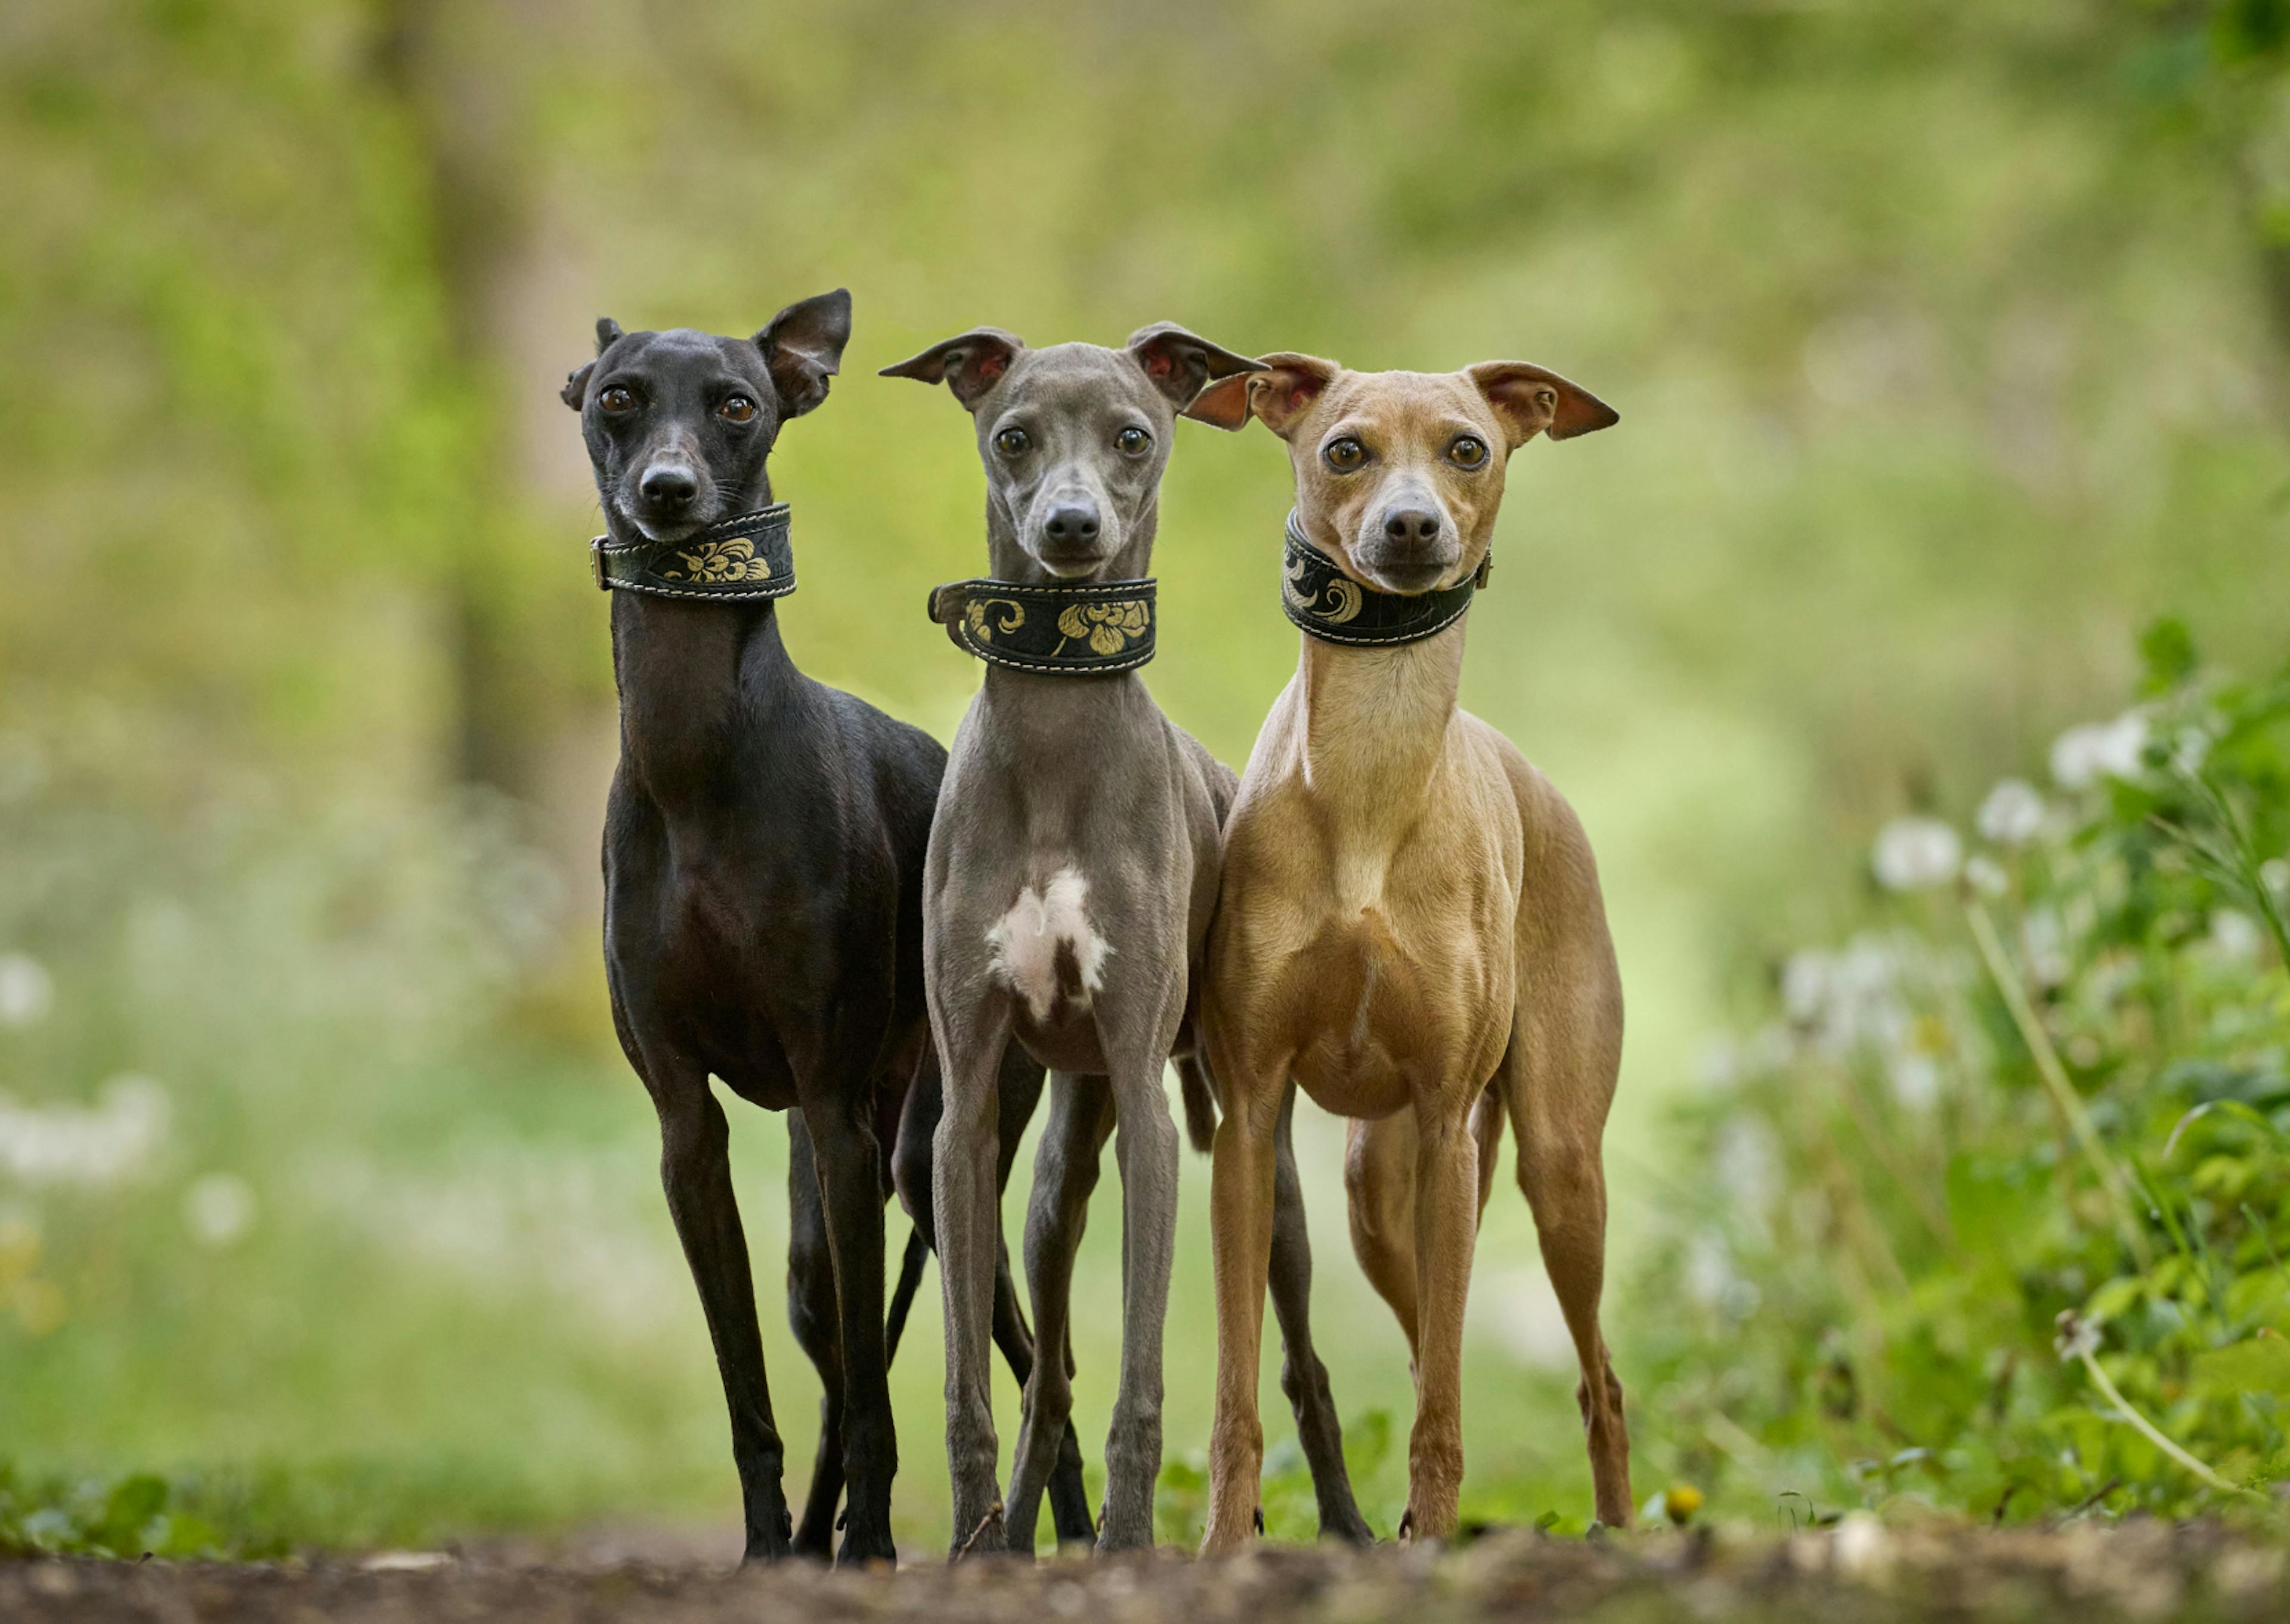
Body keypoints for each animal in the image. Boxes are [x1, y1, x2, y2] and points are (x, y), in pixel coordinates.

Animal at [558, 297, 1085, 1566]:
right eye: (616, 396)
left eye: (738, 403)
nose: (666, 492)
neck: (696, 760)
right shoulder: (688, 1126)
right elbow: (754, 1382)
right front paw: (769, 1542)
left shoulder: (842, 1112)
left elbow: (877, 1394)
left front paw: (870, 1544)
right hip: (835, 1187)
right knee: (841, 1341)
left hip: (933, 1152)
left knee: (1028, 1359)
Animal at [884, 323, 1364, 1548]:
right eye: (1013, 435)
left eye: (1134, 436)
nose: (1070, 527)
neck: (1058, 737)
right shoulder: (963, 1119)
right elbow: (971, 1381)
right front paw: (974, 1541)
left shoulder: (1151, 1109)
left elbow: (1142, 1379)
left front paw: (1132, 1538)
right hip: (1059, 1169)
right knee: (1048, 1373)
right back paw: (1017, 1529)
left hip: (1263, 1177)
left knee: (1306, 1366)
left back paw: (1344, 1522)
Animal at [1181, 350, 1630, 1548]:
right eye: (1347, 449)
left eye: (1468, 447)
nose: (1413, 525)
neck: (1372, 789)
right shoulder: (1249, 1122)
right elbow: (1240, 1387)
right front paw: (1225, 1538)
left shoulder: (1445, 1117)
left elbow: (1445, 1403)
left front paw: (1431, 1525)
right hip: (1379, 1194)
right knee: (1438, 1339)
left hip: (1549, 1162)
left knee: (1596, 1379)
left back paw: (1619, 1527)